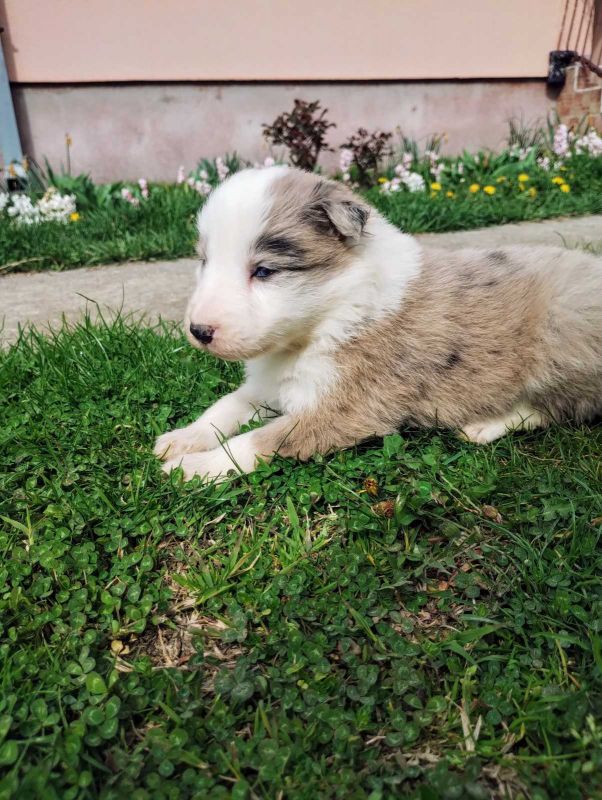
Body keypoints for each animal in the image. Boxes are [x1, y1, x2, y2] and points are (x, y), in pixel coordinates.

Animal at [155, 166, 600, 482]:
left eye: (264, 271)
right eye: (204, 261)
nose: (199, 331)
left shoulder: (347, 408)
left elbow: (257, 441)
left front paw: (193, 469)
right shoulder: (268, 385)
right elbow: (226, 406)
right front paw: (181, 439)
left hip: (563, 329)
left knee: (559, 407)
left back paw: (483, 425)